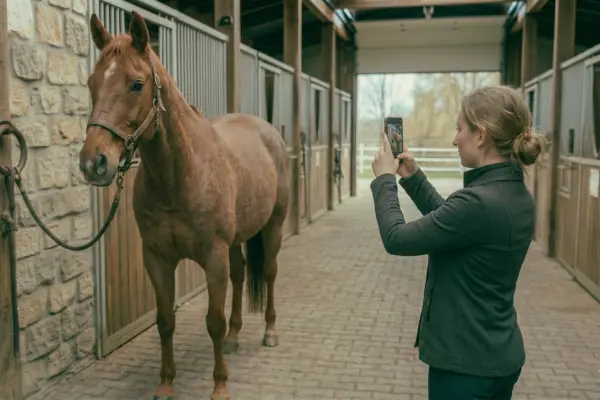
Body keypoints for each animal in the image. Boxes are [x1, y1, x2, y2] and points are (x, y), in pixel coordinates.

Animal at [80, 11, 290, 400]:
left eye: (137, 84)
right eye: (91, 82)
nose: (93, 163)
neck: (179, 174)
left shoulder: (213, 256)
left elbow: (213, 322)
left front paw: (220, 386)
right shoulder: (157, 257)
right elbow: (165, 321)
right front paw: (165, 384)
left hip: (273, 228)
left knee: (268, 273)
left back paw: (270, 332)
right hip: (236, 240)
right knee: (240, 276)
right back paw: (236, 337)